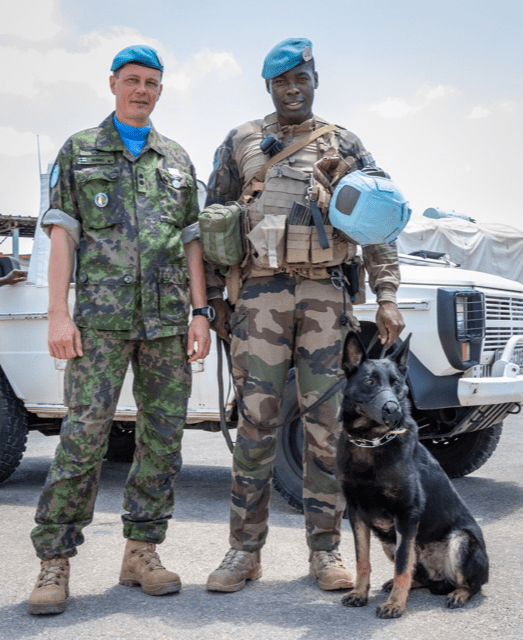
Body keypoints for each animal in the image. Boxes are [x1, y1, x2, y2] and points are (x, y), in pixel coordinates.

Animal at [336, 331, 489, 619]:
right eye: (369, 382)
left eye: (397, 383)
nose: (392, 409)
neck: (372, 443)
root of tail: (442, 579)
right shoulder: (357, 514)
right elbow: (363, 560)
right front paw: (361, 593)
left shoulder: (406, 515)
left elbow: (402, 566)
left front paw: (395, 604)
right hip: (389, 539)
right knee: (418, 574)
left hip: (460, 540)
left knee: (473, 584)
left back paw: (458, 594)